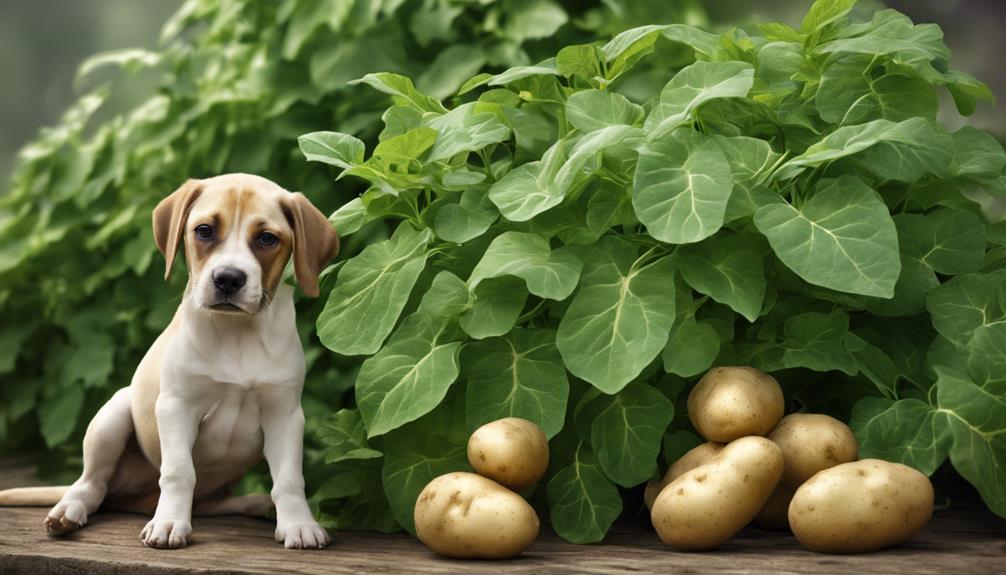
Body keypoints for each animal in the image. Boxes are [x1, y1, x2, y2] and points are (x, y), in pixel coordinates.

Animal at [0, 172, 340, 550]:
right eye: (204, 231)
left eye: (267, 238)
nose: (228, 278)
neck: (236, 333)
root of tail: (132, 497)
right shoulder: (178, 407)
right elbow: (179, 472)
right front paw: (169, 523)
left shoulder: (285, 415)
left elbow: (289, 479)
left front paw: (298, 524)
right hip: (113, 415)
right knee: (91, 485)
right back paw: (69, 511)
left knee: (208, 502)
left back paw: (255, 503)